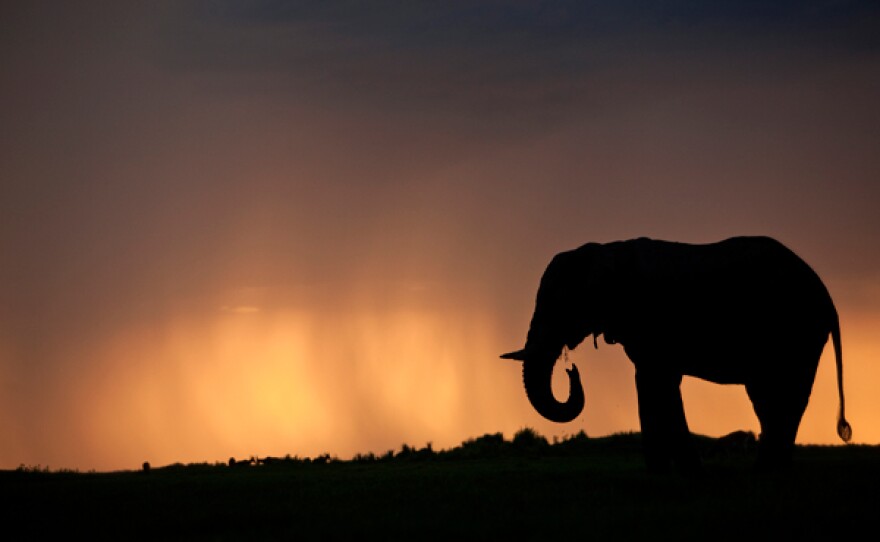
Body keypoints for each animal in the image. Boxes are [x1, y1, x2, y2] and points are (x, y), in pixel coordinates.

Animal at [502, 236, 852, 474]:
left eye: (560, 305)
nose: (571, 370)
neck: (608, 250)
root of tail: (827, 296)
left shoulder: (654, 321)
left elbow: (660, 383)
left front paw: (686, 473)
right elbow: (650, 384)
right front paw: (661, 473)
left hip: (796, 332)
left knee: (783, 396)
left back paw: (766, 470)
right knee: (771, 398)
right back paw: (771, 469)